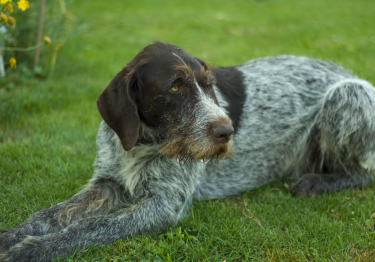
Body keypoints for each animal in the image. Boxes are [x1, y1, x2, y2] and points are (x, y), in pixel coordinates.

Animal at [0, 42, 375, 260]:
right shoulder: (106, 183)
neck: (145, 143)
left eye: (209, 85)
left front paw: (34, 249)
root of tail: (349, 72)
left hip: (347, 94)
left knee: (363, 172)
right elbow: (51, 215)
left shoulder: (163, 205)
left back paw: (318, 183)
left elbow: (92, 227)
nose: (227, 132)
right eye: (175, 87)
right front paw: (15, 235)